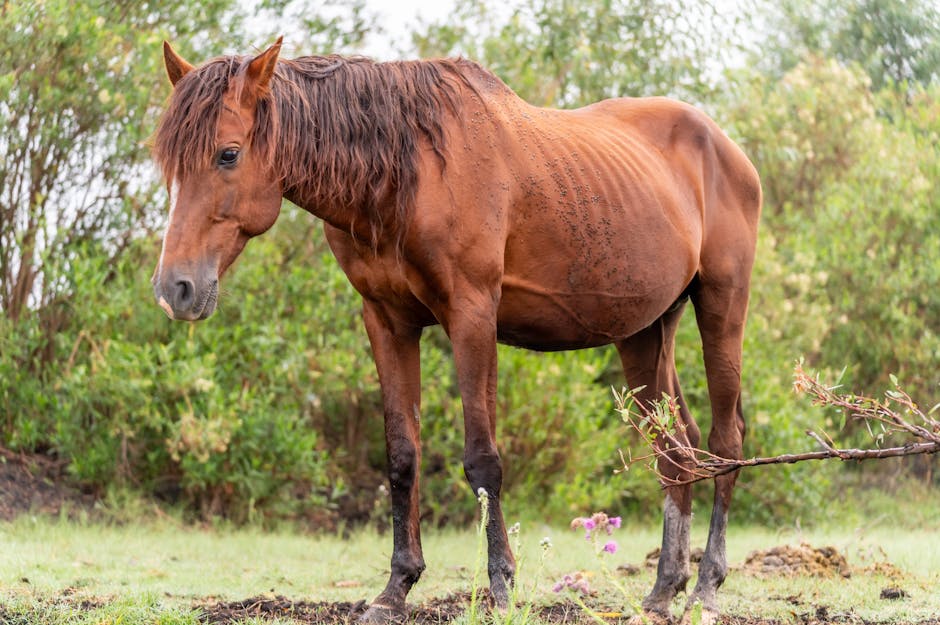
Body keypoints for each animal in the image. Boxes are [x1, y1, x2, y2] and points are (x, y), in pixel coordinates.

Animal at [151, 39, 760, 624]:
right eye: (167, 163)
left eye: (228, 154)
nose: (173, 289)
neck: (409, 172)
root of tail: (727, 149)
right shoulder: (387, 321)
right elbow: (402, 456)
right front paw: (395, 591)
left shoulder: (472, 315)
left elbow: (482, 460)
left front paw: (502, 589)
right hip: (645, 331)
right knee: (676, 450)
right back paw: (661, 592)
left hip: (721, 306)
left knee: (724, 441)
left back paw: (706, 589)